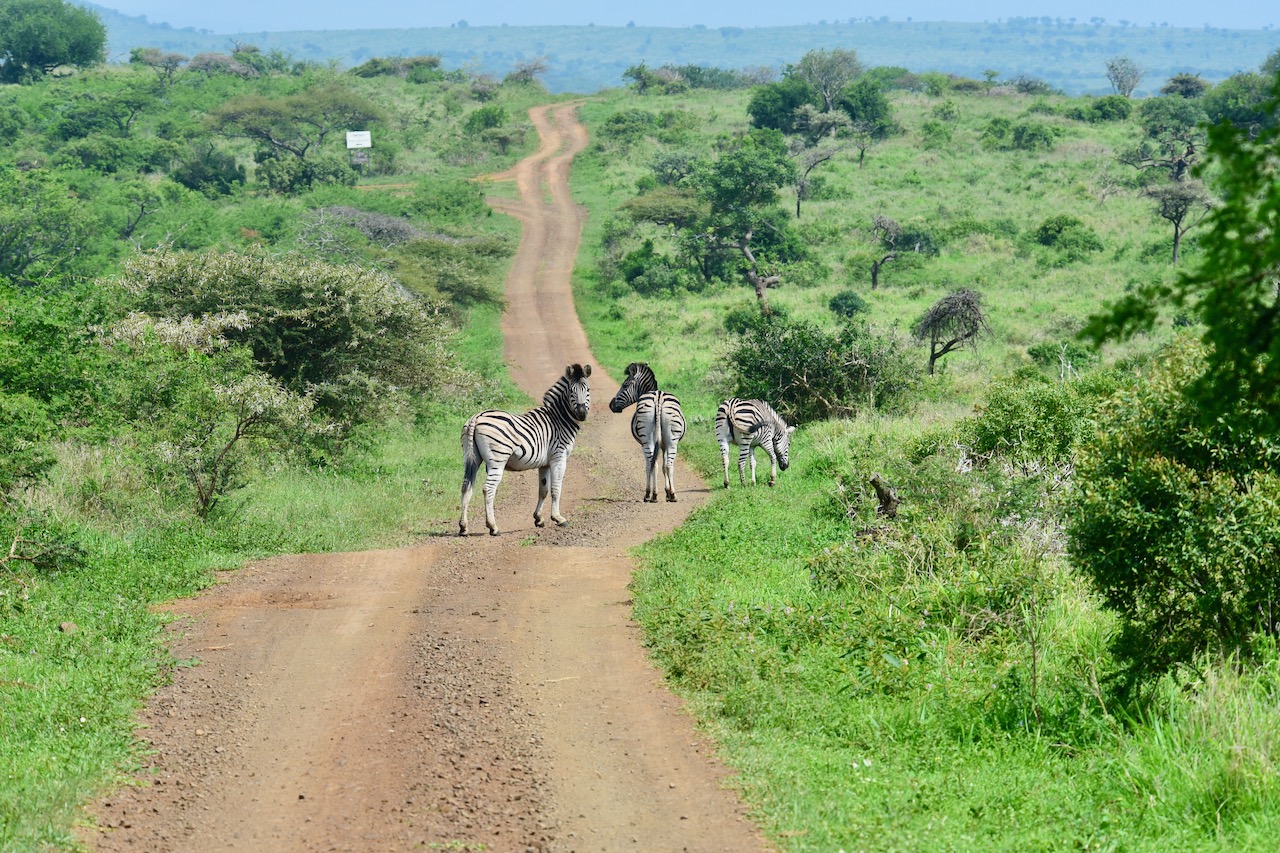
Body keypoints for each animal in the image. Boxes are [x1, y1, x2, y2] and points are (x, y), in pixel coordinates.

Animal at [459, 363, 592, 536]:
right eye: (571, 391)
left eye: (587, 389)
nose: (582, 414)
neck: (559, 418)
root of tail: (477, 417)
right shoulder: (559, 457)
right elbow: (556, 489)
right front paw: (558, 518)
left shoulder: (545, 463)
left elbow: (543, 490)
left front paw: (539, 519)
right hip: (497, 459)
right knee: (488, 489)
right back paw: (493, 527)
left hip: (472, 459)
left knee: (466, 487)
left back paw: (463, 527)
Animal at [608, 362, 687, 503]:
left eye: (625, 385)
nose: (611, 405)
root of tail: (658, 398)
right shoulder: (663, 445)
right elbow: (664, 467)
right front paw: (667, 492)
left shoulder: (643, 444)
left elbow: (649, 466)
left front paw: (652, 493)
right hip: (672, 441)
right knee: (669, 465)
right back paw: (673, 495)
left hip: (647, 440)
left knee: (652, 465)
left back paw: (652, 495)